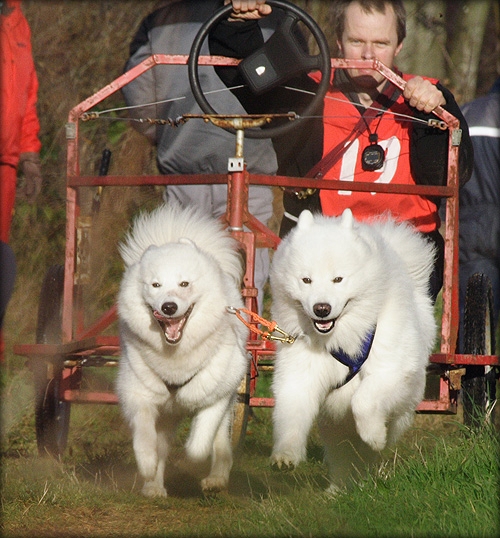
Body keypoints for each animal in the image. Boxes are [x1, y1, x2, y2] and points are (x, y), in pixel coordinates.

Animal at [117, 203, 250, 496]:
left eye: (184, 284)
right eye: (155, 285)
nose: (168, 306)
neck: (176, 358)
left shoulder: (217, 396)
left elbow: (199, 444)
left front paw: (192, 462)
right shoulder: (138, 394)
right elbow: (145, 436)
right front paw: (147, 465)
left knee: (221, 445)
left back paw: (216, 479)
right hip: (167, 412)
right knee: (162, 442)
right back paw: (154, 487)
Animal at [268, 208, 436, 490]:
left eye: (338, 279)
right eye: (306, 280)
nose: (321, 308)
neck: (340, 339)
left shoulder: (391, 370)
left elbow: (362, 401)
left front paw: (375, 435)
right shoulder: (299, 374)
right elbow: (291, 415)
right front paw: (285, 455)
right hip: (334, 429)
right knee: (343, 457)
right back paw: (339, 489)